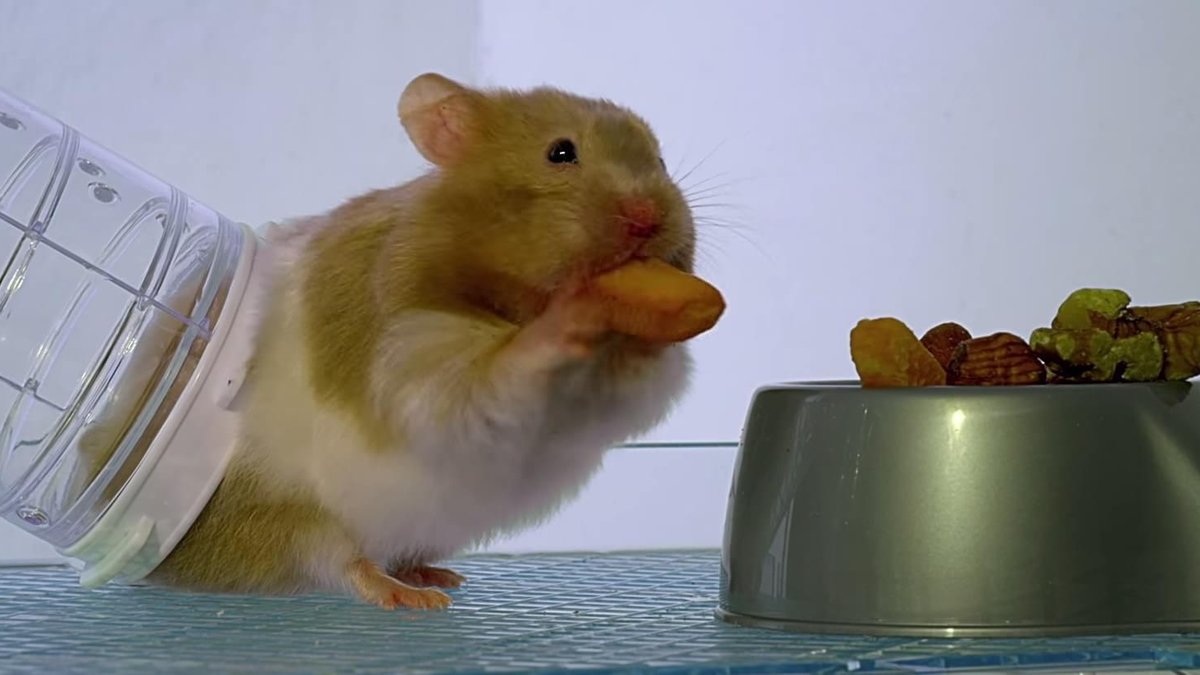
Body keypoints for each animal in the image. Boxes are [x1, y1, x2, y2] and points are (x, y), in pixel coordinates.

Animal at [91, 73, 720, 610]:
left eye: (660, 159)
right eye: (560, 152)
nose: (648, 218)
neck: (506, 299)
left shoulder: (603, 409)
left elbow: (637, 383)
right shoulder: (412, 355)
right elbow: (489, 375)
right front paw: (567, 321)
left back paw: (436, 574)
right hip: (295, 513)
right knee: (342, 562)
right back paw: (413, 597)